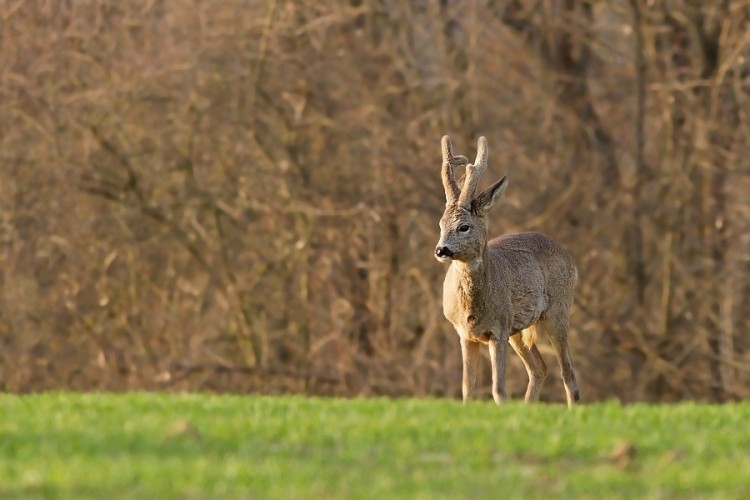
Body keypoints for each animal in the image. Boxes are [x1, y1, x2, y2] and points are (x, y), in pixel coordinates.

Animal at [434, 136, 580, 406]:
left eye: (464, 227)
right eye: (440, 224)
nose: (441, 250)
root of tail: (567, 254)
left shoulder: (498, 330)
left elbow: (498, 389)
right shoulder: (465, 334)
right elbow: (467, 388)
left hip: (558, 309)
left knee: (568, 370)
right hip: (519, 329)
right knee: (540, 368)